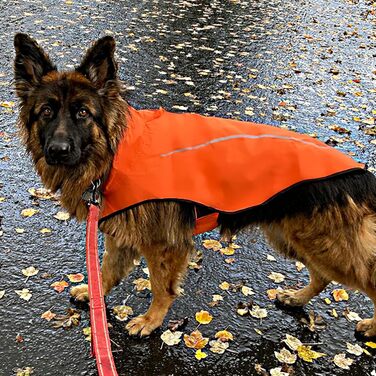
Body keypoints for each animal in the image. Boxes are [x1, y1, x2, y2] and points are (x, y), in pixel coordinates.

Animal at [13, 33, 376, 336]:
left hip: (328, 247)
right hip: (292, 237)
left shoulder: (163, 244)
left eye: (82, 113)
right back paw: (298, 298)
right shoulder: (121, 235)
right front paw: (94, 293)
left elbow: (160, 286)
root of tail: (361, 173)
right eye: (46, 112)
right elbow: (106, 270)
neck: (116, 153)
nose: (58, 150)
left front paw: (151, 321)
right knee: (322, 275)